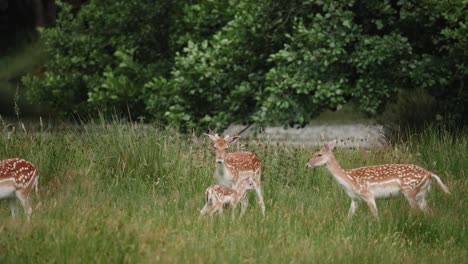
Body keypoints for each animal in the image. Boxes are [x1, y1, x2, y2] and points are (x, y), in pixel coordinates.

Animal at [308, 141, 450, 218]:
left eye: (318, 154)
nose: (307, 164)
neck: (349, 180)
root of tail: (429, 174)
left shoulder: (368, 194)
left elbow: (375, 215)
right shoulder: (354, 199)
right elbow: (349, 216)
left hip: (410, 191)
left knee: (417, 211)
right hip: (421, 194)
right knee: (428, 211)